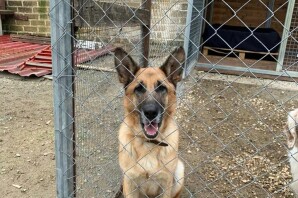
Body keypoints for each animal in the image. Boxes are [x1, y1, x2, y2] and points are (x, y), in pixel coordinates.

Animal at [115, 47, 185, 197]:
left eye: (162, 88)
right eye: (139, 88)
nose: (151, 113)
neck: (149, 144)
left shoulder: (166, 184)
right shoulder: (129, 183)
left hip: (179, 172)